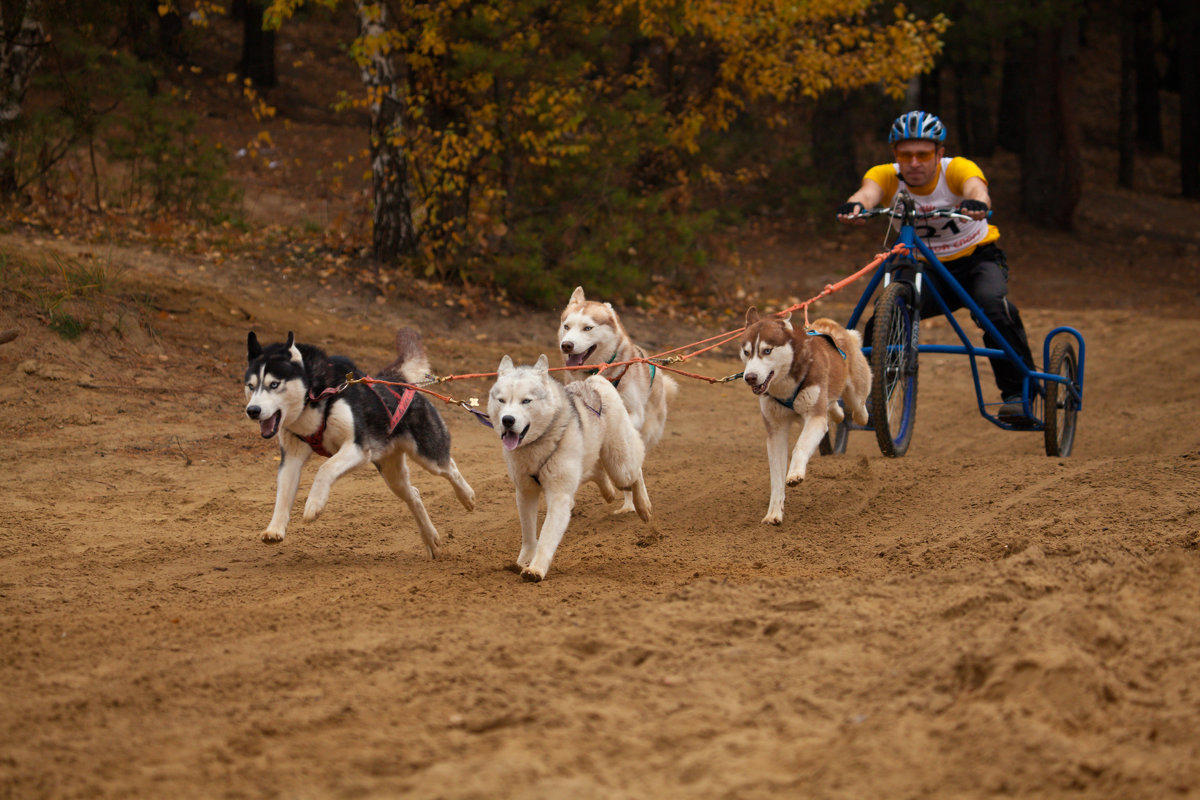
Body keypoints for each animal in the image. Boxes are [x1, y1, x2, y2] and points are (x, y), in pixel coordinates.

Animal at [243, 328, 472, 561]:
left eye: (274, 384)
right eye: (251, 386)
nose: (252, 410)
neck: (315, 396)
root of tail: (394, 380)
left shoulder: (358, 448)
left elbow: (324, 468)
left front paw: (314, 504)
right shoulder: (291, 459)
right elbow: (283, 494)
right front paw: (275, 528)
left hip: (427, 454)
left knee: (450, 468)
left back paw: (467, 496)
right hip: (392, 473)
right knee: (414, 494)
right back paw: (430, 538)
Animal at [487, 357, 652, 582]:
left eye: (526, 401)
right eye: (502, 400)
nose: (507, 420)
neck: (538, 444)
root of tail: (595, 380)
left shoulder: (559, 496)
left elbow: (546, 536)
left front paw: (536, 568)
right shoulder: (525, 493)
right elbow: (529, 535)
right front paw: (523, 561)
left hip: (620, 467)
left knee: (636, 472)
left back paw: (643, 505)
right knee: (597, 471)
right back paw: (608, 492)